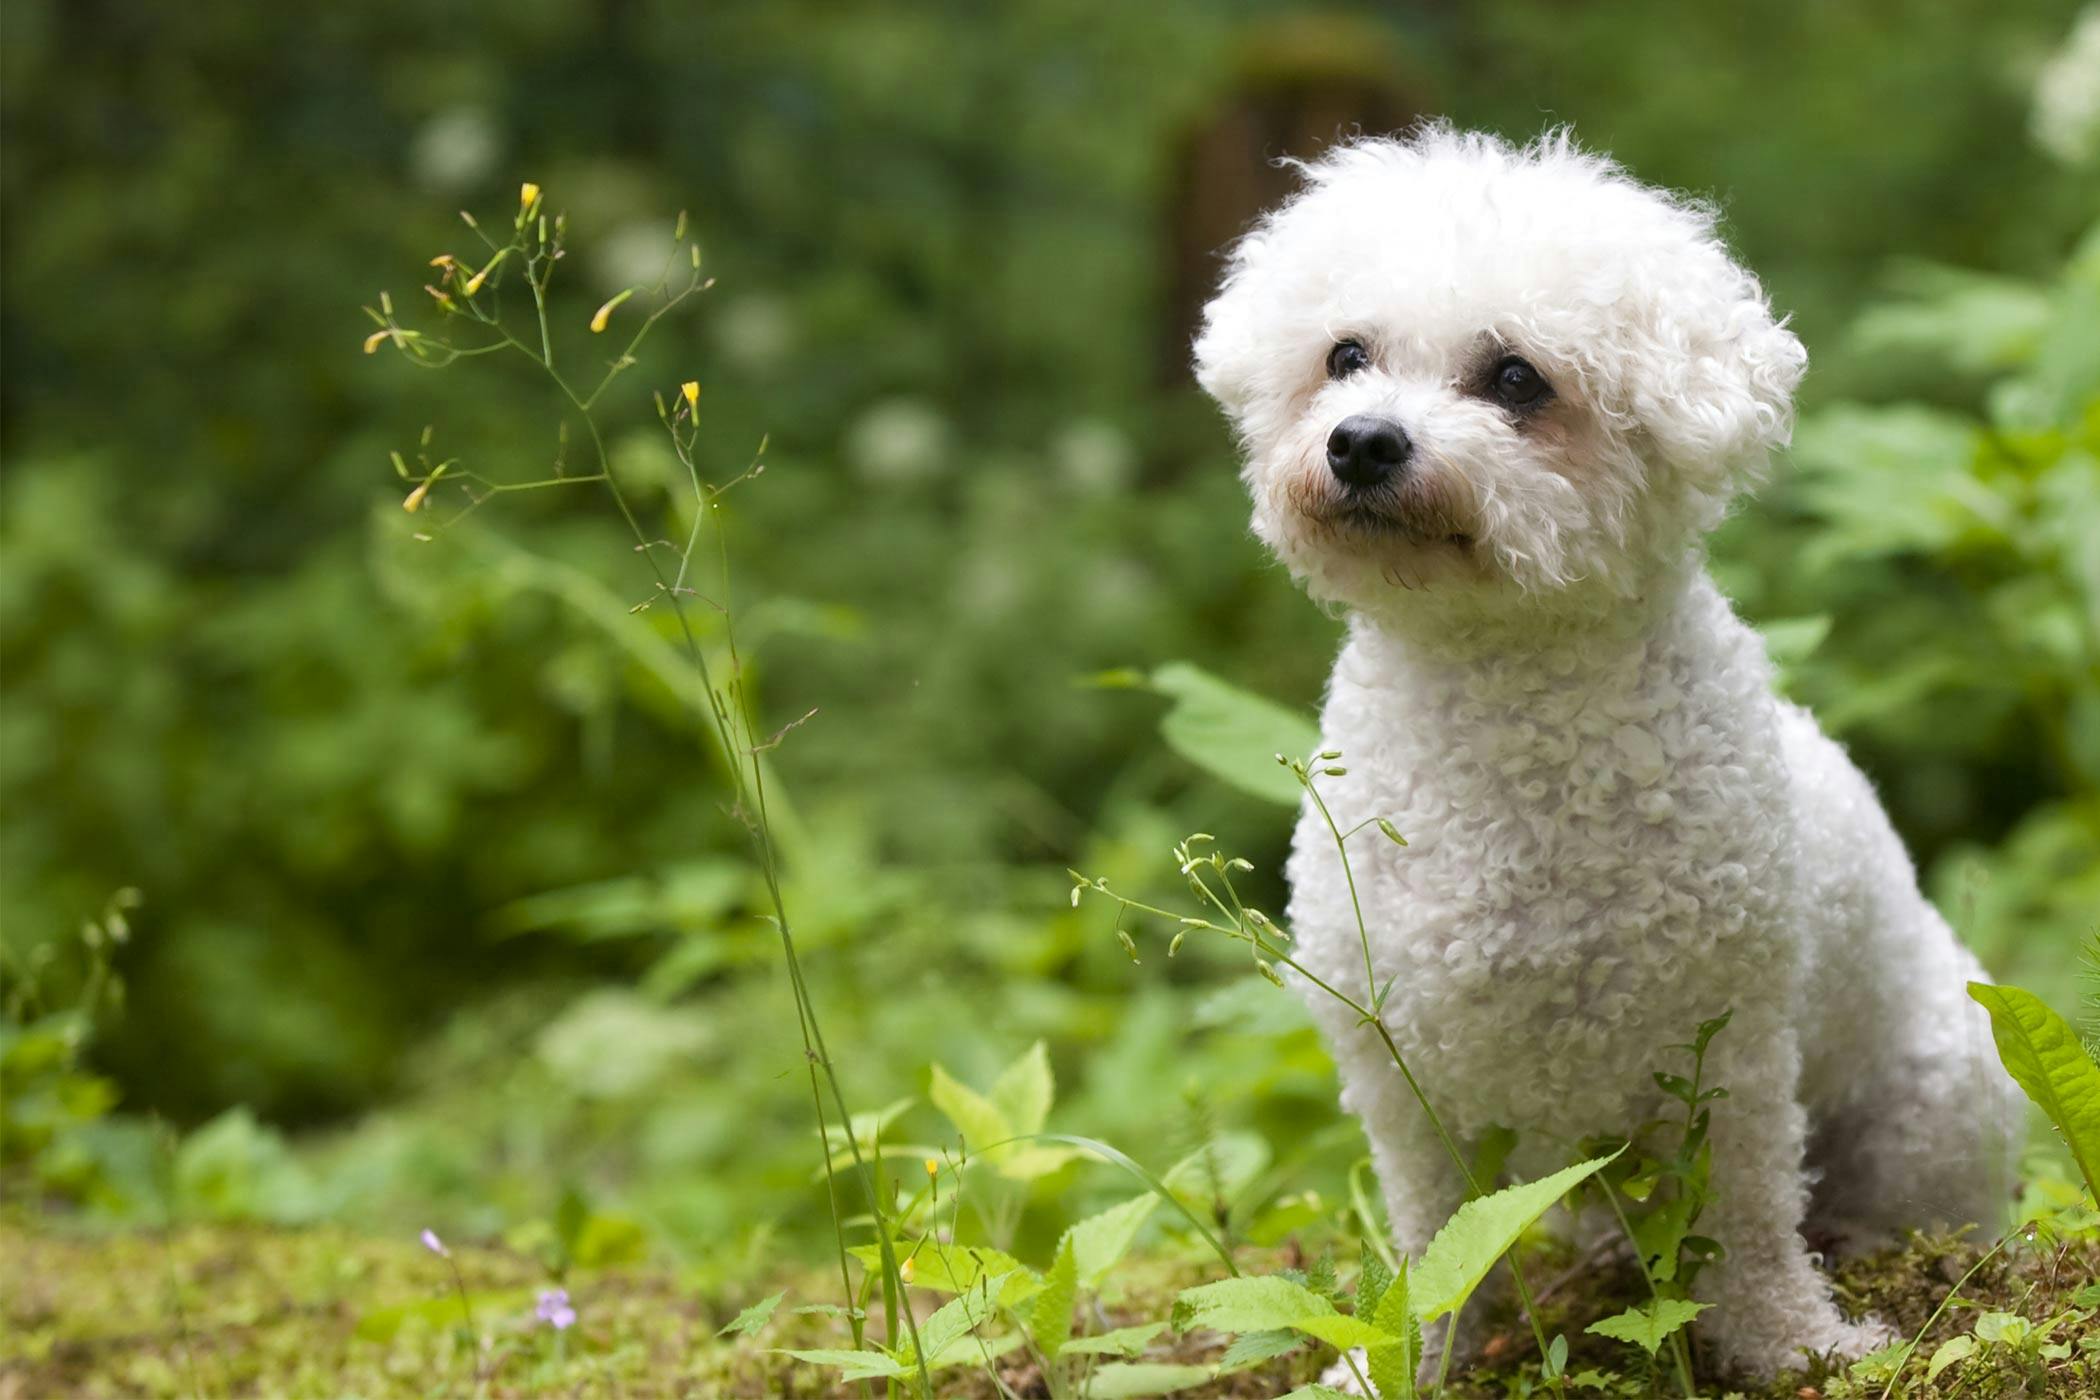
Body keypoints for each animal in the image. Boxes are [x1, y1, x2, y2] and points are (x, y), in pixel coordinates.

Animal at [1201, 128, 2015, 1376]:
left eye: (1517, 378)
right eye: (1345, 356)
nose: (1363, 441)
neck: (1503, 699)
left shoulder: (1730, 1055)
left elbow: (1748, 1219)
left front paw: (1795, 1345)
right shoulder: (1403, 1081)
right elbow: (1436, 1242)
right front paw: (1402, 1361)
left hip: (1938, 1093)